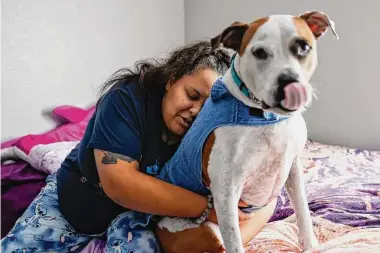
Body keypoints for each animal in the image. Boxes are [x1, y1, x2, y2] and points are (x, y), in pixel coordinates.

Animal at [154, 10, 338, 253]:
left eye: (304, 47)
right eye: (259, 52)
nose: (288, 82)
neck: (266, 118)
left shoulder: (293, 168)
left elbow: (303, 211)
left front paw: (310, 245)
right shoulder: (226, 191)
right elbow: (234, 242)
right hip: (208, 231)